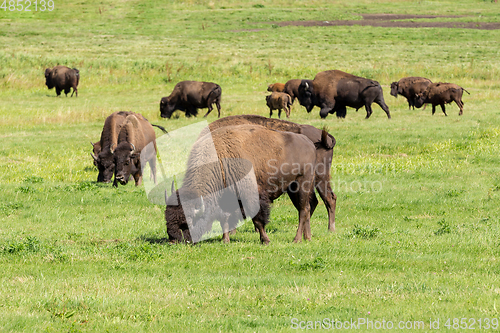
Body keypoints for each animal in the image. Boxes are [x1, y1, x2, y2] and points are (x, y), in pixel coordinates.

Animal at [164, 123, 332, 243]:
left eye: (187, 222)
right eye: (167, 218)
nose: (173, 240)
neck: (220, 159)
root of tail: (309, 143)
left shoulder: (250, 194)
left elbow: (257, 219)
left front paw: (265, 240)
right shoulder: (226, 197)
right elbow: (225, 218)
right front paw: (225, 240)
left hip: (302, 183)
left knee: (303, 210)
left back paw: (297, 239)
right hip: (292, 188)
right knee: (306, 208)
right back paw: (307, 237)